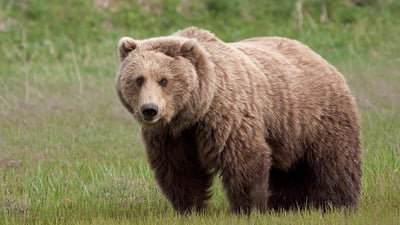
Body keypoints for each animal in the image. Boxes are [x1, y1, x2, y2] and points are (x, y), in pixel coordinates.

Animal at [115, 26, 362, 214]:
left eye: (164, 80)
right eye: (139, 79)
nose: (149, 110)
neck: (195, 112)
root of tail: (318, 56)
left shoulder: (227, 117)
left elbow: (243, 159)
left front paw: (248, 208)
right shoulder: (172, 136)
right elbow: (179, 168)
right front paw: (189, 208)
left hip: (318, 116)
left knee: (335, 161)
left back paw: (339, 204)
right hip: (286, 130)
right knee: (288, 171)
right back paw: (287, 205)